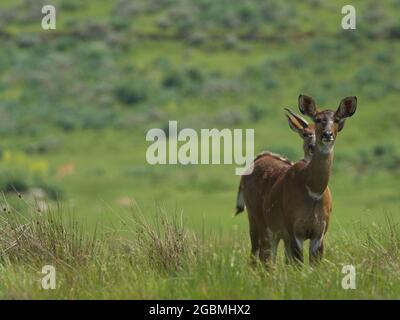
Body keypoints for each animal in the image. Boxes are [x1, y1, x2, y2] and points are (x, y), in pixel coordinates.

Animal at [256, 95, 356, 264]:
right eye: (317, 119)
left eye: (336, 119)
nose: (327, 134)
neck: (312, 189)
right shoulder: (295, 230)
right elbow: (297, 263)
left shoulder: (319, 232)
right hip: (263, 227)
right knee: (267, 260)